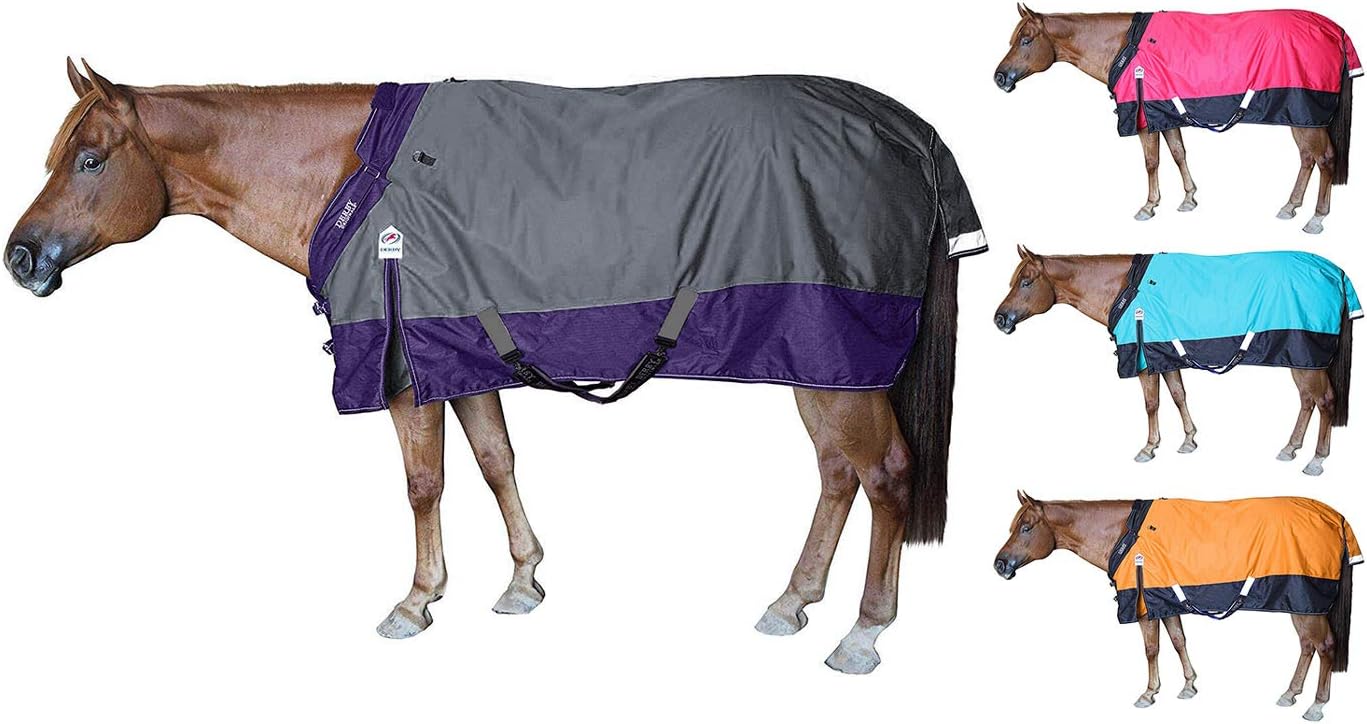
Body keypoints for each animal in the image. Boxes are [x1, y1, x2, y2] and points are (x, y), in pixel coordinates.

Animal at [2, 60, 975, 674]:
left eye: (89, 158)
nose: (20, 258)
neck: (355, 180)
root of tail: (909, 133)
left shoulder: (402, 368)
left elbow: (425, 482)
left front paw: (415, 601)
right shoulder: (458, 355)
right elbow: (496, 461)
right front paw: (522, 582)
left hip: (837, 360)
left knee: (885, 475)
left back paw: (862, 635)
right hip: (819, 360)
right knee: (837, 476)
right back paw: (790, 601)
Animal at [993, 5, 1357, 234]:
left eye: (1026, 40)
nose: (999, 77)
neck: (1125, 47)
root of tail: (1335, 30)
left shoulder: (1143, 117)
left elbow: (1152, 162)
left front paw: (1148, 206)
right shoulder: (1164, 114)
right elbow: (1179, 153)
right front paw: (1189, 199)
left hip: (1307, 115)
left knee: (1324, 158)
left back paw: (1316, 219)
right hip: (1300, 117)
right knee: (1307, 158)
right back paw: (1289, 206)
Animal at [993, 246, 1358, 475]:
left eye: (1026, 281)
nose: (1000, 319)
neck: (1125, 289)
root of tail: (1335, 271)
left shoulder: (1143, 360)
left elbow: (1152, 404)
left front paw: (1149, 448)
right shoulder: (1165, 357)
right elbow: (1179, 395)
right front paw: (1189, 440)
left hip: (1307, 358)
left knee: (1324, 400)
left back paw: (1316, 460)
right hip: (1302, 360)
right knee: (1307, 401)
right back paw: (1290, 448)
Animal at [994, 492, 1360, 721]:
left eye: (1026, 528)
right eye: (1013, 526)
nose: (999, 564)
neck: (1126, 534)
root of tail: (1336, 517)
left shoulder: (1143, 605)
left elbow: (1152, 649)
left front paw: (1149, 693)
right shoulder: (1164, 602)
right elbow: (1178, 641)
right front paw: (1188, 686)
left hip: (1307, 603)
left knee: (1325, 646)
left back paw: (1316, 706)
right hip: (1301, 604)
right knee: (1307, 646)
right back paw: (1289, 694)